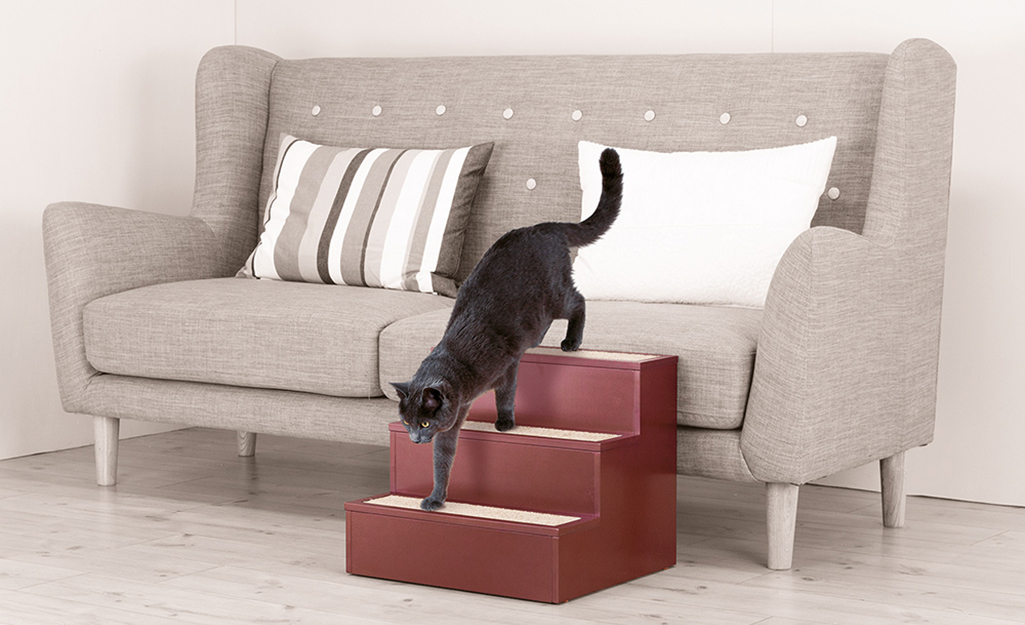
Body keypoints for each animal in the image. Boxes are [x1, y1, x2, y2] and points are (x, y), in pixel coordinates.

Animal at [387, 148, 619, 508]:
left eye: (423, 421)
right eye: (407, 422)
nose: (414, 439)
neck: (457, 364)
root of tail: (544, 227)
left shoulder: (506, 367)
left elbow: (507, 393)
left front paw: (505, 422)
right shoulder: (452, 420)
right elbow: (443, 458)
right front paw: (436, 498)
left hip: (553, 296)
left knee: (579, 301)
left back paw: (572, 341)